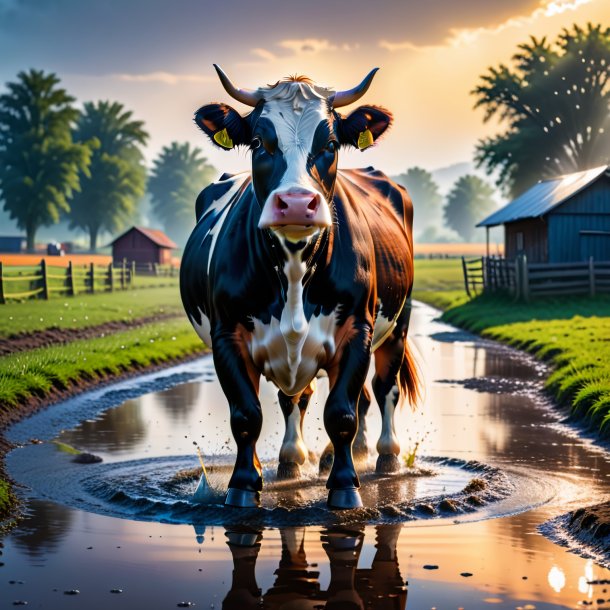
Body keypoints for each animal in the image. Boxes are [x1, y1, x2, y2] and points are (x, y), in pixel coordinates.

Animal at [180, 65, 418, 508]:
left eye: (330, 143)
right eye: (259, 142)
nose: (294, 202)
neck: (292, 267)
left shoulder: (357, 328)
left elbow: (341, 412)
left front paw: (344, 487)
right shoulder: (226, 335)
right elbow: (247, 414)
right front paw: (243, 485)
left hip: (399, 322)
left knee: (382, 389)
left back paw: (384, 456)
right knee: (298, 397)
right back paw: (293, 460)